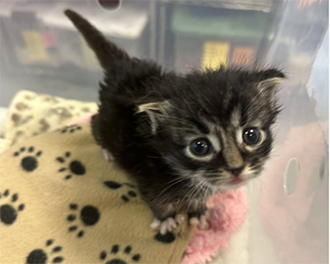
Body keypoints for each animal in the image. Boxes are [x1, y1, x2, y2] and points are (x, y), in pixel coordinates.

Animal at [65, 9, 284, 234]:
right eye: (199, 147)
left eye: (251, 136)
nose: (237, 168)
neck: (183, 172)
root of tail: (125, 67)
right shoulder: (146, 174)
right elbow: (158, 201)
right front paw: (166, 219)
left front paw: (197, 211)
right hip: (107, 123)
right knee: (95, 121)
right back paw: (107, 150)